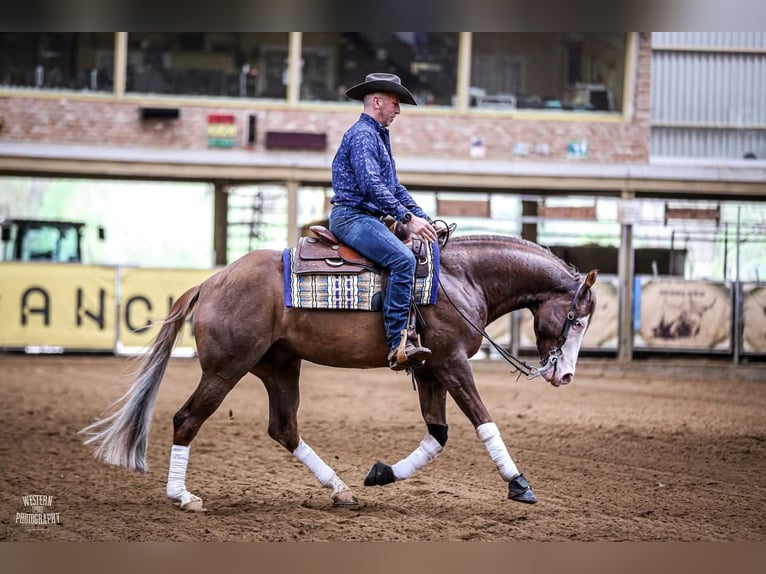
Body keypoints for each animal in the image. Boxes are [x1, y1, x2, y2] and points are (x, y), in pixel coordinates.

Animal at [81, 232, 597, 511]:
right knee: (187, 419)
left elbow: (438, 435)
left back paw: (341, 489)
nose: (566, 376)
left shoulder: (431, 368)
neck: (458, 278)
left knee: (284, 428)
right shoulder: (452, 363)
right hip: (227, 369)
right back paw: (182, 497)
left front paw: (382, 473)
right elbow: (484, 422)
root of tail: (210, 282)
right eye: (576, 318)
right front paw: (519, 485)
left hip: (279, 366)